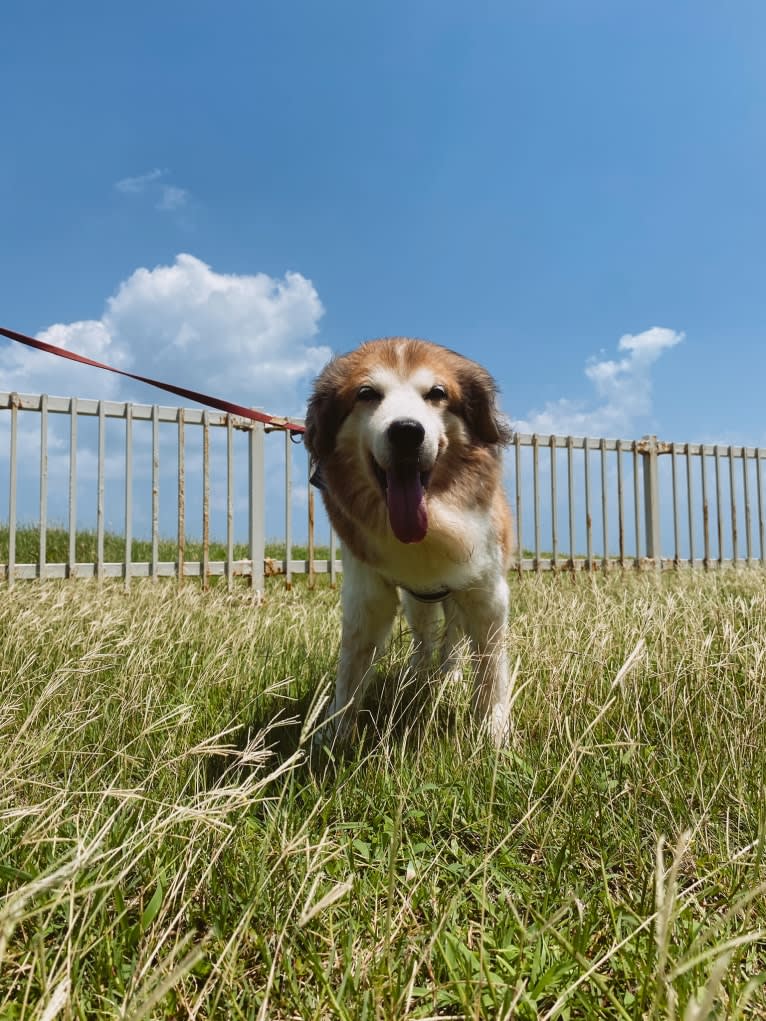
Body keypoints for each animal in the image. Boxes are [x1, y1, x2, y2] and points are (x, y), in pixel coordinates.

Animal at [306, 338, 516, 747]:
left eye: (437, 393)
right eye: (366, 394)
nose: (406, 432)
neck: (431, 521)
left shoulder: (486, 591)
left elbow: (491, 666)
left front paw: (493, 728)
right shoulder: (367, 593)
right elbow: (352, 666)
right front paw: (334, 733)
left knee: (453, 638)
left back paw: (448, 675)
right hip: (418, 599)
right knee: (424, 638)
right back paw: (417, 676)